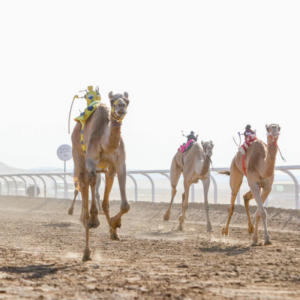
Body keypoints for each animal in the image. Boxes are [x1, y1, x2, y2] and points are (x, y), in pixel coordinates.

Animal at [72, 91, 131, 260]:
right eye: (112, 101)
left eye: (127, 101)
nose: (121, 107)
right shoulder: (91, 159)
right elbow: (91, 181)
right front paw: (94, 219)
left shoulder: (120, 163)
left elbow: (125, 205)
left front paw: (115, 224)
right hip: (78, 157)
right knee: (86, 182)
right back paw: (87, 250)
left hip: (106, 168)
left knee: (102, 192)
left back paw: (112, 230)